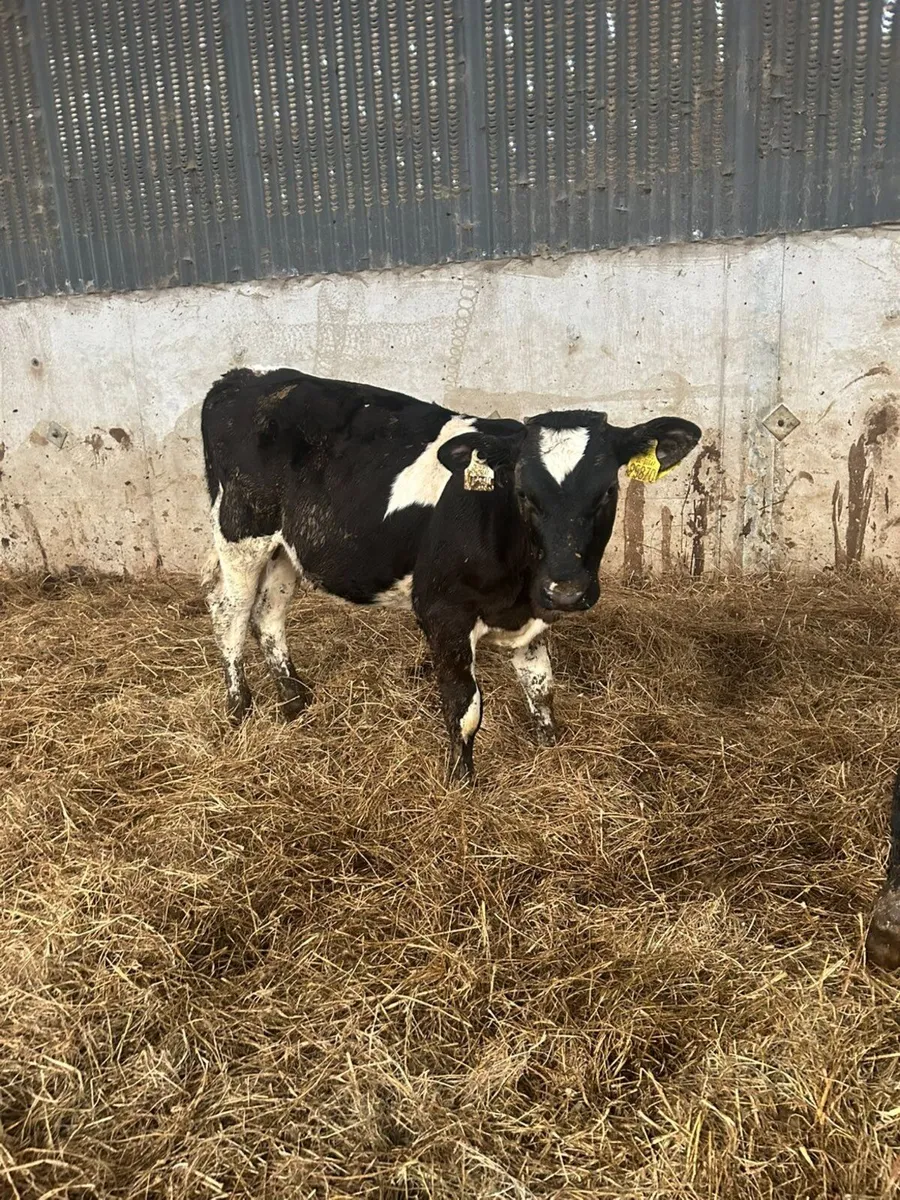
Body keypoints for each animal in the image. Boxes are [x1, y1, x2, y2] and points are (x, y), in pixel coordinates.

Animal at [201, 367, 701, 781]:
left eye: (607, 491)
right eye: (523, 492)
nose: (566, 590)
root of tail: (246, 377)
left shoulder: (532, 614)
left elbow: (541, 687)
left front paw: (550, 748)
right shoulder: (442, 612)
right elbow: (465, 707)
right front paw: (461, 782)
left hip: (286, 548)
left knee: (268, 613)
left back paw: (295, 699)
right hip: (240, 531)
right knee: (230, 612)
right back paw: (239, 707)